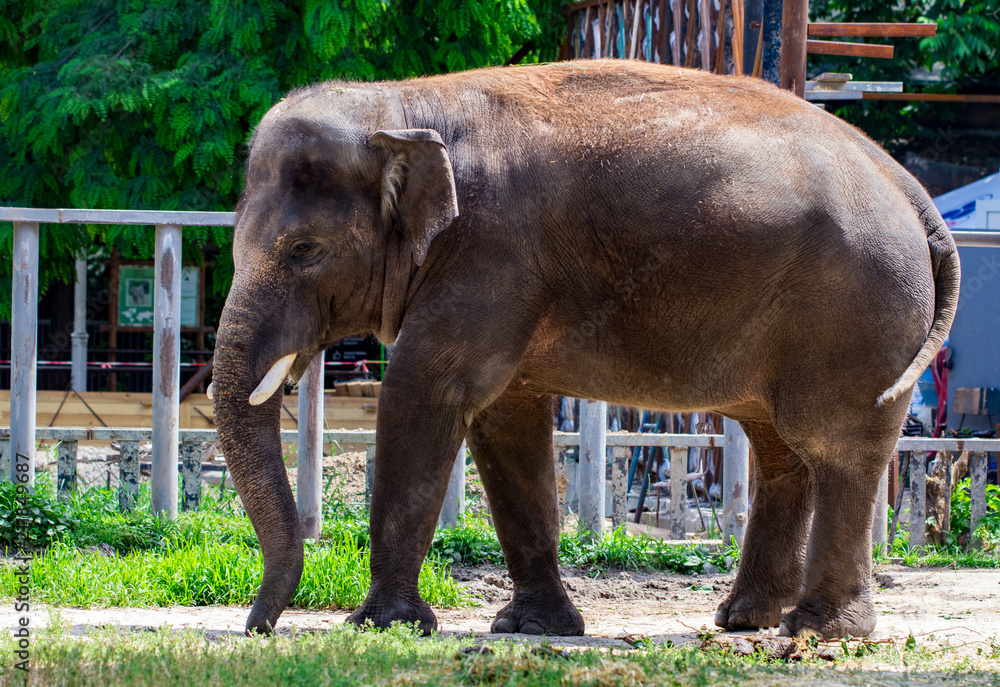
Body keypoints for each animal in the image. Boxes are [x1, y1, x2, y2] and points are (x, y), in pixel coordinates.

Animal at [211, 59, 959, 639]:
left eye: (305, 251)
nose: (259, 629)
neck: (399, 105)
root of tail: (911, 189)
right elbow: (504, 422)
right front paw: (531, 629)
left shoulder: (489, 252)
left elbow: (427, 393)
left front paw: (382, 627)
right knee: (781, 449)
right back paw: (744, 620)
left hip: (859, 309)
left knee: (836, 446)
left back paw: (818, 632)